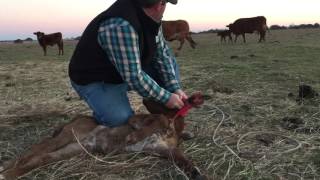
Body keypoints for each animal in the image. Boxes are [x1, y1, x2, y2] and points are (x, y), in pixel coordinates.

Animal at [0, 93, 208, 180]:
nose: (144, 97)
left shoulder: (161, 148)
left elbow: (179, 156)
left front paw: (195, 172)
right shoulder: (135, 120)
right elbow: (159, 119)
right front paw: (133, 137)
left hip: (72, 149)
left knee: (40, 158)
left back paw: (9, 173)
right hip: (66, 136)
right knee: (30, 152)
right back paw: (5, 169)